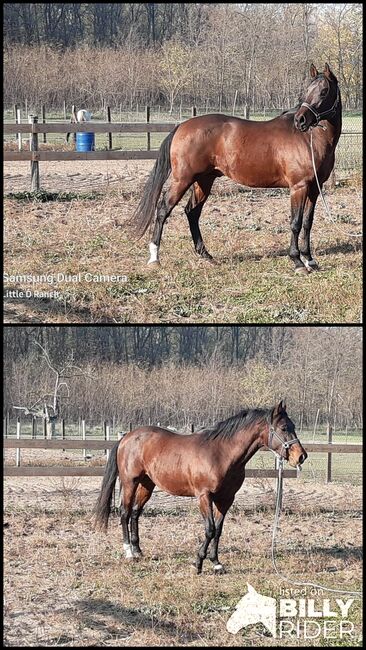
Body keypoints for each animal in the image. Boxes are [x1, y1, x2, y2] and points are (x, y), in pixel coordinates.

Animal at [95, 394, 308, 572]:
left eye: (293, 426)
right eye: (284, 428)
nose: (301, 456)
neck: (221, 454)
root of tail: (127, 437)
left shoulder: (226, 499)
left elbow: (219, 531)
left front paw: (216, 563)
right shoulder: (204, 496)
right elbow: (210, 529)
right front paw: (198, 563)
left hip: (147, 484)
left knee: (135, 513)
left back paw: (138, 550)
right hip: (130, 482)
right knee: (124, 512)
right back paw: (129, 552)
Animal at [131, 66, 340, 276]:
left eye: (324, 91)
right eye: (307, 90)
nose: (301, 120)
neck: (309, 140)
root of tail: (182, 126)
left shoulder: (314, 188)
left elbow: (307, 223)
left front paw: (310, 260)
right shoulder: (299, 187)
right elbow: (295, 223)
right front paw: (297, 261)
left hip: (204, 181)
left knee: (192, 212)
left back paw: (205, 255)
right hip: (182, 180)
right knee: (163, 209)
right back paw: (155, 258)